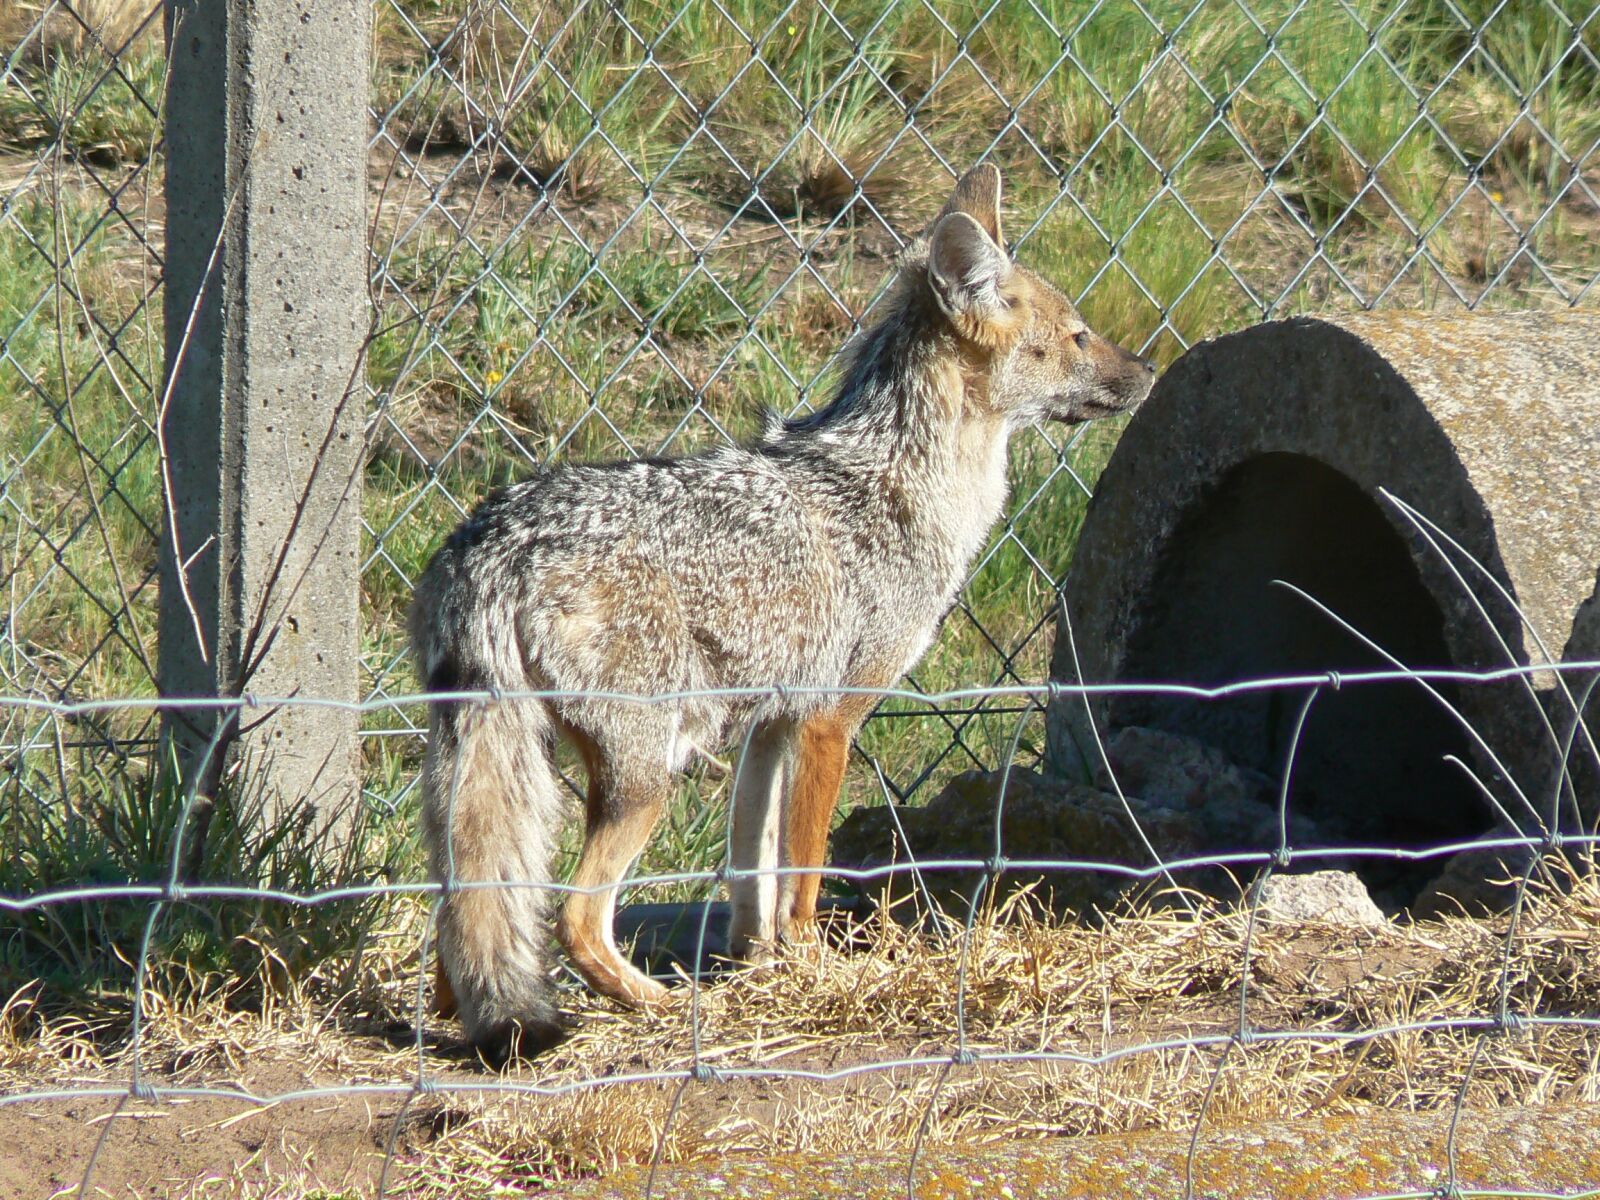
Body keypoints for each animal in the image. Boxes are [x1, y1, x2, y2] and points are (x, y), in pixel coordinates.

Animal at [406, 167, 1158, 1062]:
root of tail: (490, 537)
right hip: (647, 775)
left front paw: (758, 966)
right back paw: (650, 1005)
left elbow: (750, 874)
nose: (1150, 371)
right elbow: (802, 875)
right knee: (574, 919)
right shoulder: (832, 719)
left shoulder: (770, 725)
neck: (911, 484)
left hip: (522, 765)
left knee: (467, 916)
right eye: (1080, 336)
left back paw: (476, 1018)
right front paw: (812, 968)